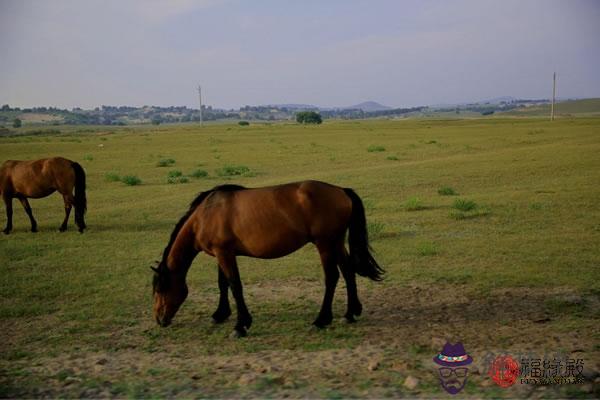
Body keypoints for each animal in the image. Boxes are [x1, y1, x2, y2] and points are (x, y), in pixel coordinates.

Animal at [151, 180, 384, 336]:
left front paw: (241, 325)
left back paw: (322, 319)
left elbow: (235, 285)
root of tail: (341, 191)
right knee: (348, 271)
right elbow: (223, 283)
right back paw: (350, 313)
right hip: (336, 242)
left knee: (332, 277)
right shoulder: (222, 253)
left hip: (325, 244)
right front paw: (220, 314)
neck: (204, 216)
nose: (159, 319)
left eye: (160, 289)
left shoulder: (224, 253)